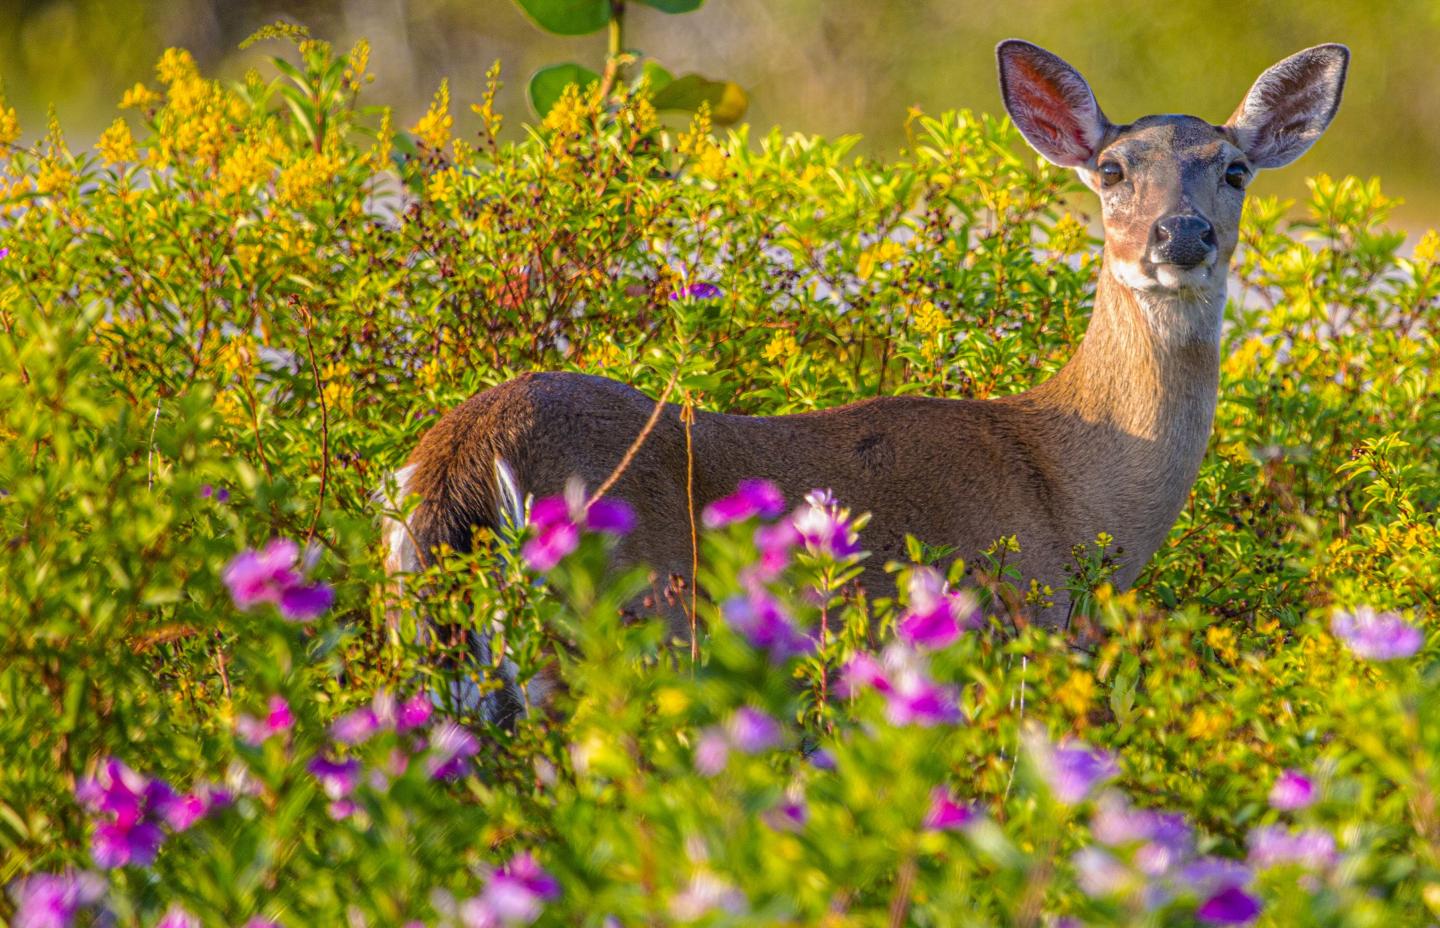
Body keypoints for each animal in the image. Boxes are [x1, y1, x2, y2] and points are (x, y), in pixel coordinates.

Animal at [380, 39, 1348, 719]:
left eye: (1235, 170)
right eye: (1111, 170)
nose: (1180, 236)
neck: (1069, 489)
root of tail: (460, 453)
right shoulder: (1002, 624)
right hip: (625, 617)